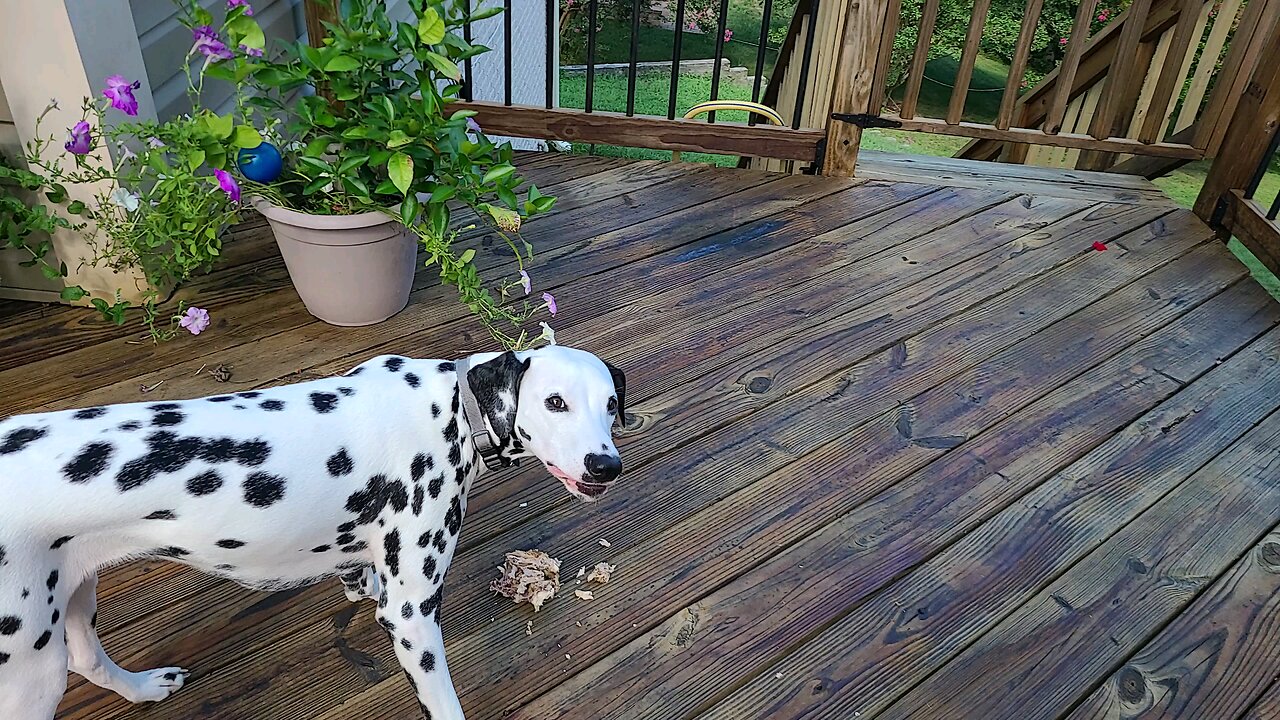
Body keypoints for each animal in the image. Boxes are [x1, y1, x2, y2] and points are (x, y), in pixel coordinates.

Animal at [0, 340, 624, 717]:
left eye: (612, 404)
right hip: (30, 671)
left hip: (74, 594)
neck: (449, 410)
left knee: (87, 659)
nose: (606, 465)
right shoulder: (413, 616)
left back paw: (146, 687)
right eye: (555, 402)